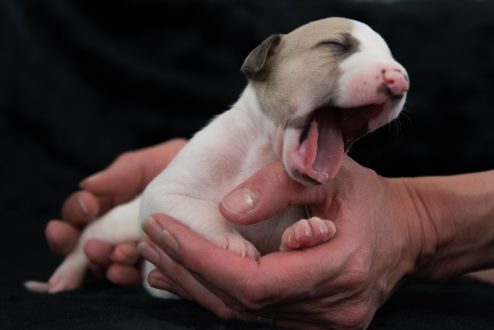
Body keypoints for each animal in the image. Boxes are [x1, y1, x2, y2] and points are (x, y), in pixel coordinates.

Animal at [27, 16, 410, 298]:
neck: (263, 152)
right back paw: (61, 279)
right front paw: (231, 240)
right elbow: (198, 208)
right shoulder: (166, 192)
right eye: (336, 45)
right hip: (119, 223)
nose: (400, 78)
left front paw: (307, 232)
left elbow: (283, 241)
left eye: (390, 55)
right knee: (90, 233)